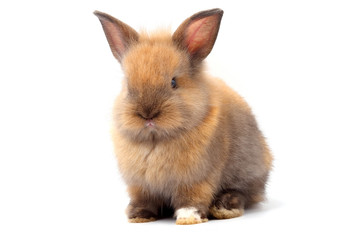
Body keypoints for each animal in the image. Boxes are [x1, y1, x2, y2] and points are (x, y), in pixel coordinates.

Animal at [94, 7, 272, 225]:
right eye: (127, 85)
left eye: (173, 82)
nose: (148, 115)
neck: (156, 141)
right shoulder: (140, 186)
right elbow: (143, 199)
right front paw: (139, 215)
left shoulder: (197, 179)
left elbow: (192, 198)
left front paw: (188, 217)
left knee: (244, 193)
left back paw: (224, 207)